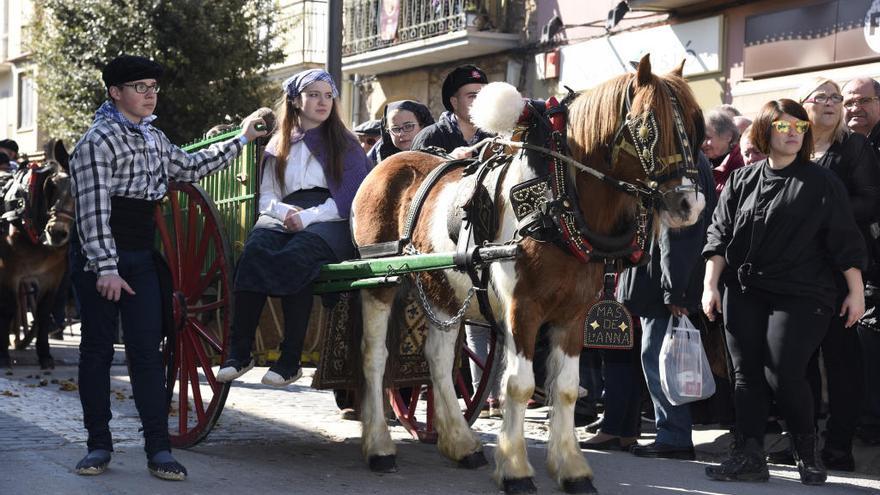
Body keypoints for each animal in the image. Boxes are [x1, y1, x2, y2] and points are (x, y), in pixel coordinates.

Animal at [0, 139, 75, 368]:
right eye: (52, 186)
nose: (57, 232)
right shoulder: (9, 272)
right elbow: (8, 307)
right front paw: (4, 356)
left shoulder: (52, 276)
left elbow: (42, 312)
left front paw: (45, 355)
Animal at [348, 56, 700, 494]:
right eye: (650, 124)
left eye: (697, 122)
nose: (689, 204)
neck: (559, 200)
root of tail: (388, 163)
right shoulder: (523, 308)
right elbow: (519, 384)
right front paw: (515, 468)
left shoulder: (574, 314)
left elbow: (564, 388)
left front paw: (571, 468)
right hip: (379, 283)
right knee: (375, 356)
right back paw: (379, 446)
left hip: (442, 289)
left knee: (439, 360)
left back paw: (460, 443)